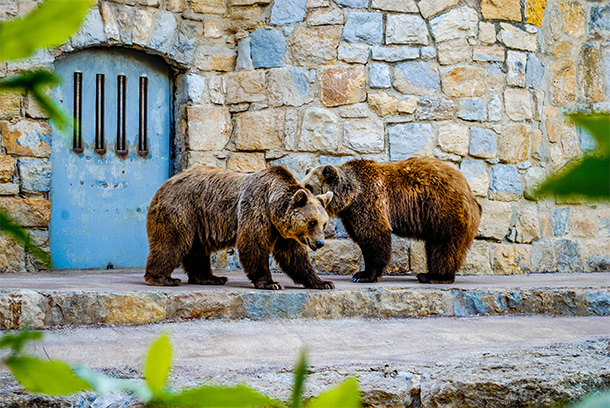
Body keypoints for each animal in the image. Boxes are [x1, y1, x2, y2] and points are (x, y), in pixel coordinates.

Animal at [144, 165, 332, 290]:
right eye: (312, 222)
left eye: (324, 223)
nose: (320, 243)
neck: (273, 209)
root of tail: (166, 183)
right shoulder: (256, 210)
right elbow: (254, 245)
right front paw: (271, 283)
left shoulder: (282, 232)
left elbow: (295, 256)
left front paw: (323, 282)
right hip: (182, 210)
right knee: (171, 243)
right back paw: (163, 278)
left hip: (200, 223)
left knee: (198, 250)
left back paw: (211, 277)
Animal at [300, 159, 480, 284]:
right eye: (302, 184)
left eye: (309, 186)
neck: (350, 196)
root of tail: (467, 188)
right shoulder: (351, 216)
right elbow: (362, 237)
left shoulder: (369, 201)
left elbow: (374, 235)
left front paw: (363, 275)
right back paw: (427, 274)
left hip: (443, 210)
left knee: (444, 244)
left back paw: (436, 276)